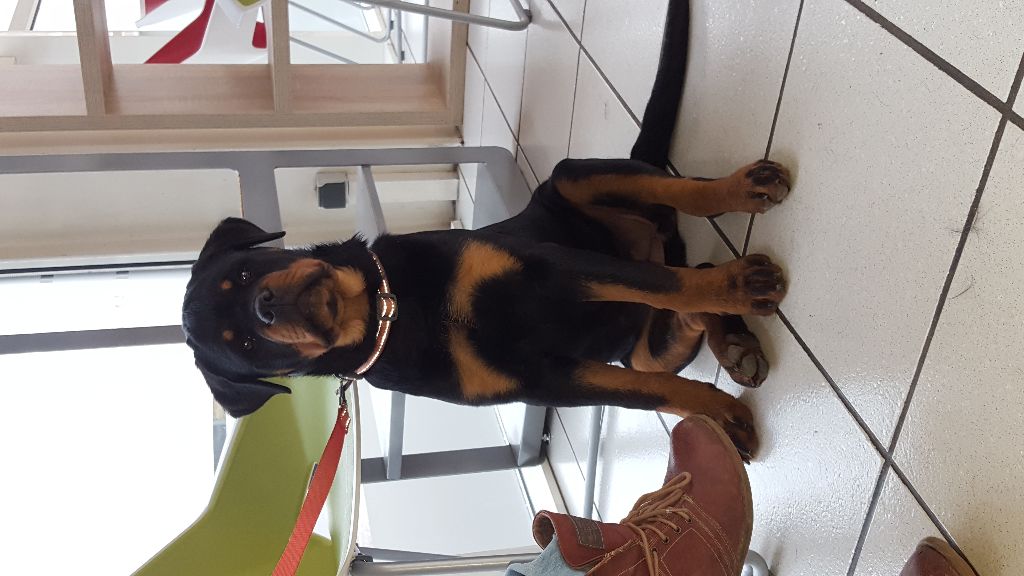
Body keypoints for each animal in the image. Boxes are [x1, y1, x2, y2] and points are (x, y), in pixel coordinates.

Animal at [181, 0, 789, 459]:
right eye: (247, 346)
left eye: (244, 272)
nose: (265, 307)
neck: (391, 312)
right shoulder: (549, 380)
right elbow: (650, 394)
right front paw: (721, 417)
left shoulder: (550, 267)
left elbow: (663, 286)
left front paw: (737, 288)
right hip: (640, 342)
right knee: (673, 308)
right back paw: (735, 345)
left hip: (572, 178)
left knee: (679, 209)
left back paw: (744, 193)